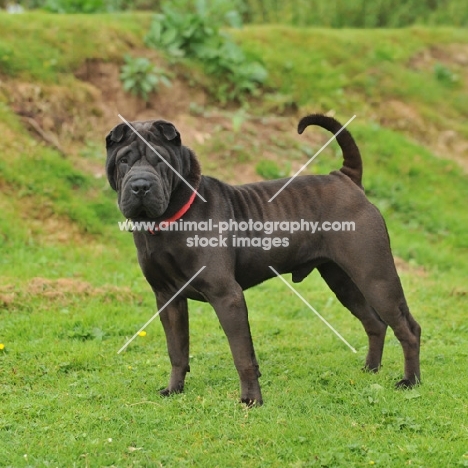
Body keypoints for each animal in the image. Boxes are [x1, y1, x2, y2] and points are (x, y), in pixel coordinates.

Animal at [106, 114, 420, 406]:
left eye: (160, 160)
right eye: (124, 161)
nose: (141, 186)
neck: (170, 220)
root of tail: (344, 177)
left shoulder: (227, 296)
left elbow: (242, 355)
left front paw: (251, 399)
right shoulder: (168, 299)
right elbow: (177, 351)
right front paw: (174, 389)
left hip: (376, 277)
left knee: (408, 328)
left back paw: (410, 381)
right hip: (342, 281)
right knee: (375, 323)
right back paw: (371, 369)